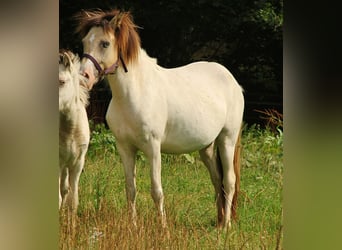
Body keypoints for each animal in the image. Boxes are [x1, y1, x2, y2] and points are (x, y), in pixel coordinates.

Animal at [76, 9, 244, 229]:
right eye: (85, 41)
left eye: (104, 43)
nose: (84, 77)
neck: (134, 92)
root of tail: (232, 81)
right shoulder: (125, 148)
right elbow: (130, 189)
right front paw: (133, 226)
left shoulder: (153, 148)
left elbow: (157, 190)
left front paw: (163, 228)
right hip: (206, 147)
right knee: (217, 180)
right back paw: (219, 221)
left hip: (227, 140)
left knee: (229, 181)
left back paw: (225, 226)